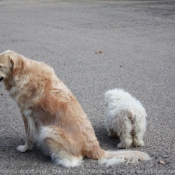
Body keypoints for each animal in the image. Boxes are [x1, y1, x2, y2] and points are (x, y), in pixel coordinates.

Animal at [0, 50, 150, 167]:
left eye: (0, 66)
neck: (23, 72)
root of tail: (96, 148)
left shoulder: (26, 113)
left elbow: (28, 136)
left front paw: (25, 148)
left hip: (48, 131)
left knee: (74, 161)